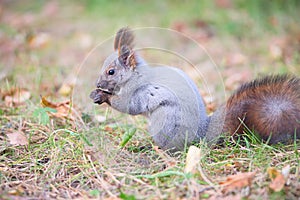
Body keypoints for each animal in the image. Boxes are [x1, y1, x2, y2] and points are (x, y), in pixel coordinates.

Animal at [89, 27, 300, 152]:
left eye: (111, 71)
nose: (98, 85)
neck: (136, 76)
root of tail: (201, 132)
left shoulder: (140, 92)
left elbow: (128, 105)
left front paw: (104, 97)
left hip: (164, 121)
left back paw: (154, 148)